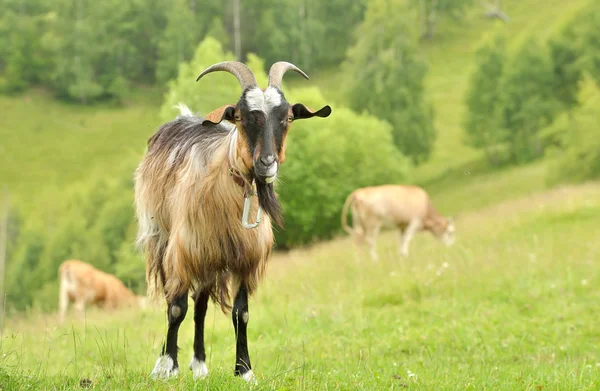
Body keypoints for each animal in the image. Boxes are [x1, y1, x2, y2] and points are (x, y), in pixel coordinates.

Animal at [134, 60, 330, 382]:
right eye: (240, 116)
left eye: (288, 117)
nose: (267, 163)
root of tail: (183, 116)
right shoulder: (184, 251)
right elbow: (176, 308)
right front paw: (168, 367)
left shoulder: (245, 259)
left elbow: (242, 313)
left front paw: (245, 370)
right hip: (163, 239)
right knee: (178, 302)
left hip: (210, 260)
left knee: (200, 305)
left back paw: (200, 365)